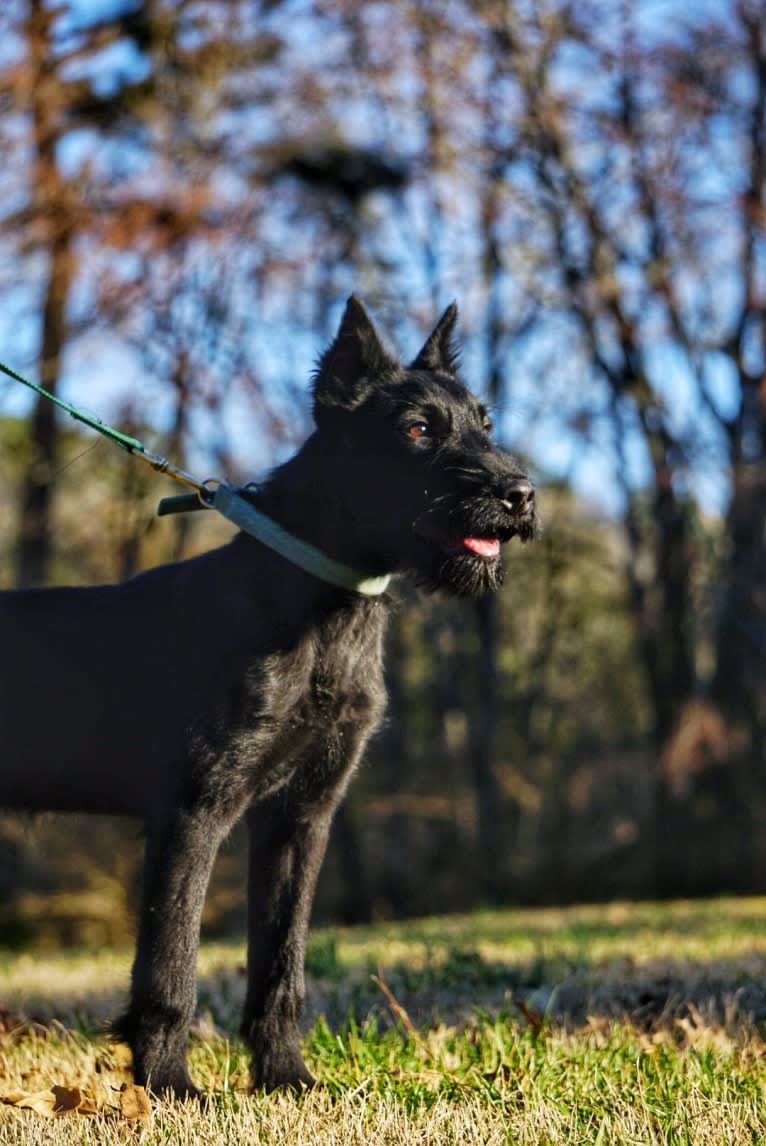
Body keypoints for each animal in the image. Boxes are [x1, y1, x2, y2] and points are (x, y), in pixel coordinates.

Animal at [0, 300, 536, 1095]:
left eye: (486, 421)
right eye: (417, 429)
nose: (520, 494)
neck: (322, 608)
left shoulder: (300, 816)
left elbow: (281, 961)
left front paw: (285, 1076)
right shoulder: (194, 812)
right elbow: (171, 965)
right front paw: (169, 1086)